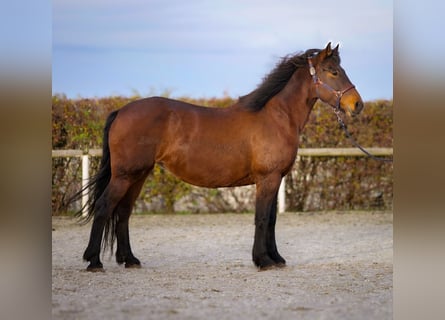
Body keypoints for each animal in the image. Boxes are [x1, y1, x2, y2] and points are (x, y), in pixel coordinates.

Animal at [75, 42, 360, 272]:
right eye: (333, 71)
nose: (357, 105)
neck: (277, 117)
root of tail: (121, 111)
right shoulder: (267, 179)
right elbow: (262, 218)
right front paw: (263, 260)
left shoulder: (276, 179)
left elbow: (272, 220)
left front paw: (276, 258)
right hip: (124, 176)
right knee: (104, 207)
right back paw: (94, 261)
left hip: (138, 175)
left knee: (123, 212)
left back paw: (130, 259)